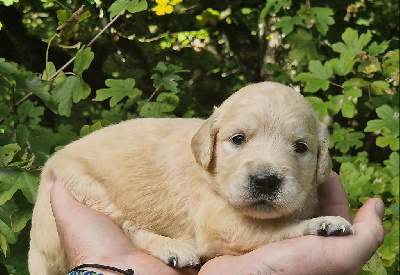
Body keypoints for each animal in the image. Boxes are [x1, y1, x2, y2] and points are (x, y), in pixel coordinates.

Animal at [28, 82, 354, 275]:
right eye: (238, 139)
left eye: (301, 147)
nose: (265, 181)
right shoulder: (216, 221)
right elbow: (276, 228)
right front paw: (321, 224)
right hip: (85, 187)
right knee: (128, 228)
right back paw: (173, 249)